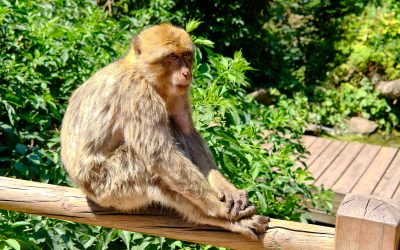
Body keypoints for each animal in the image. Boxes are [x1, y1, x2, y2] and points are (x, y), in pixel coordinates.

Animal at [61, 23, 268, 240]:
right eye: (172, 57)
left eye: (186, 55)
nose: (186, 73)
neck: (143, 73)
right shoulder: (138, 94)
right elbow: (159, 155)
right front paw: (217, 207)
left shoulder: (180, 90)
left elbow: (187, 132)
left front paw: (227, 189)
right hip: (109, 187)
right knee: (147, 168)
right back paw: (214, 217)